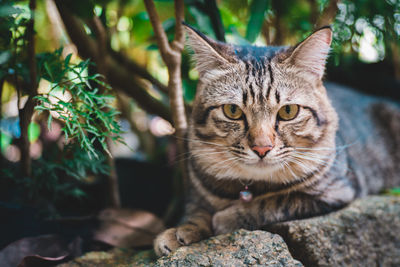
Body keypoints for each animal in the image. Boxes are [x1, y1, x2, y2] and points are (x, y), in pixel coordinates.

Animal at [155, 25, 400, 258]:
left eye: (288, 111)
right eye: (232, 111)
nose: (261, 148)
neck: (249, 187)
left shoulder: (337, 191)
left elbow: (276, 201)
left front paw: (228, 217)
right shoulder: (196, 192)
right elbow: (196, 211)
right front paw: (182, 230)